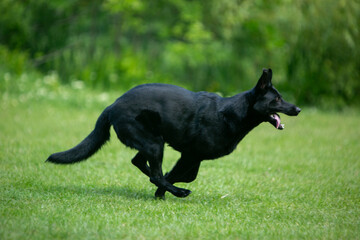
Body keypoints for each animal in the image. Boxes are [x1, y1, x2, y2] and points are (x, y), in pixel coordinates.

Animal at [47, 68, 300, 199]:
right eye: (277, 99)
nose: (297, 109)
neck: (232, 113)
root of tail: (112, 105)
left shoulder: (193, 157)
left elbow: (184, 174)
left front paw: (162, 190)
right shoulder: (190, 155)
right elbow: (179, 175)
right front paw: (163, 191)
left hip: (152, 143)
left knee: (139, 162)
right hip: (154, 144)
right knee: (152, 172)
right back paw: (178, 192)